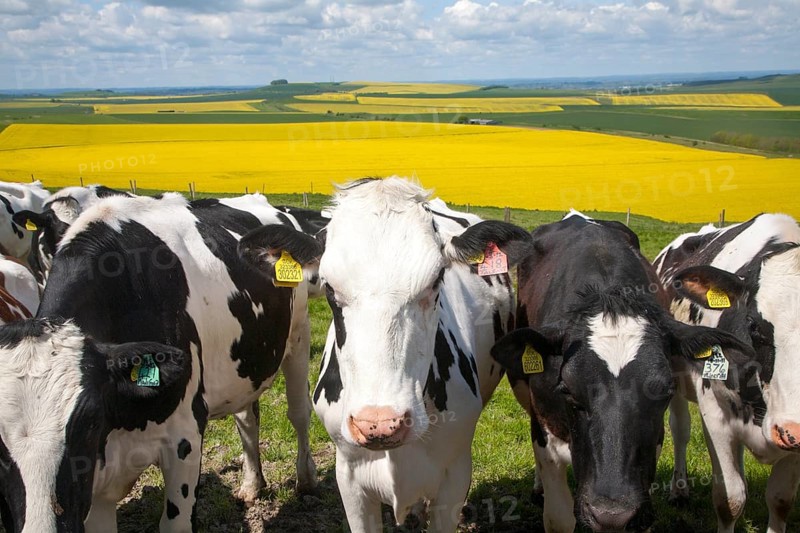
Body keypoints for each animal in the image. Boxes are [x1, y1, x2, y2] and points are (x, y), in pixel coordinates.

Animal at [0, 192, 324, 532]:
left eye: (87, 424)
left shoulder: (185, 435)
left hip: (297, 335)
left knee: (299, 412)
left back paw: (306, 480)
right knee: (247, 419)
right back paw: (251, 485)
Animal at [654, 213, 800, 533]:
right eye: (754, 326)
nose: (792, 429)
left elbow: (780, 501)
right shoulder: (715, 413)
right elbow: (729, 499)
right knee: (680, 429)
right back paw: (679, 489)